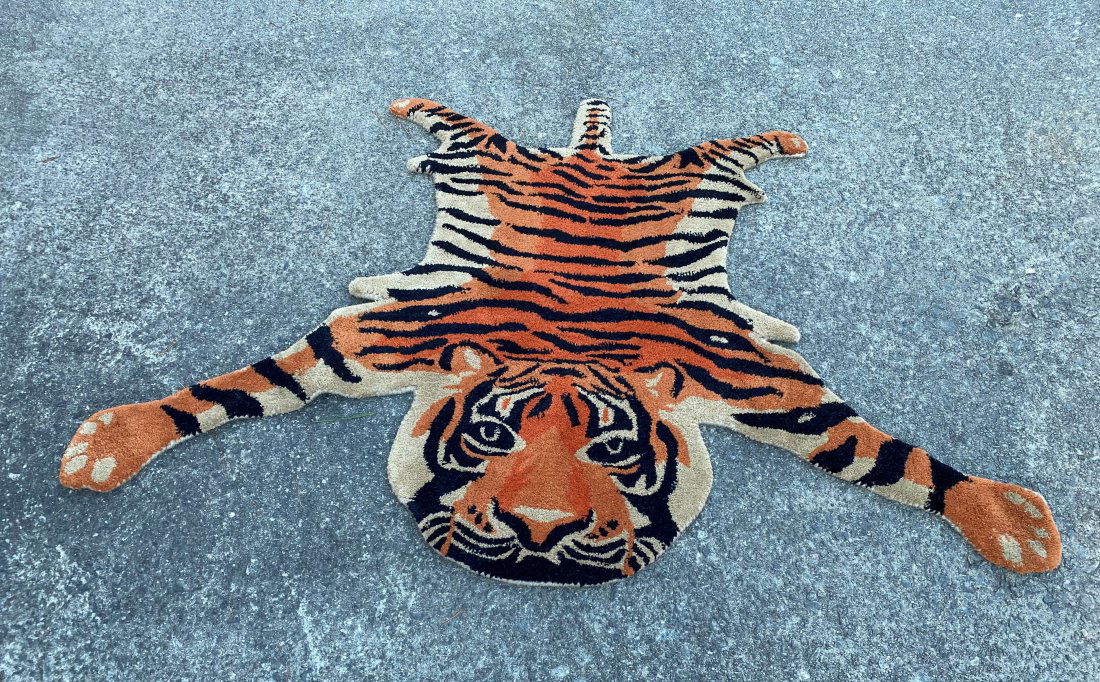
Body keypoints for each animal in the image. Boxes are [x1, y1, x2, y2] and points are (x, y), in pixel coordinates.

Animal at [59, 98, 1062, 584]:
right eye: (491, 435)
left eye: (614, 451)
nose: (538, 534)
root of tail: (592, 161)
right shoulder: (366, 342)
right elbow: (237, 386)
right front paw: (108, 445)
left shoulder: (775, 390)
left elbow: (887, 454)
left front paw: (1010, 523)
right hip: (495, 150)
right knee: (454, 118)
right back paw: (409, 101)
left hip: (690, 165)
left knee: (734, 147)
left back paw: (787, 138)